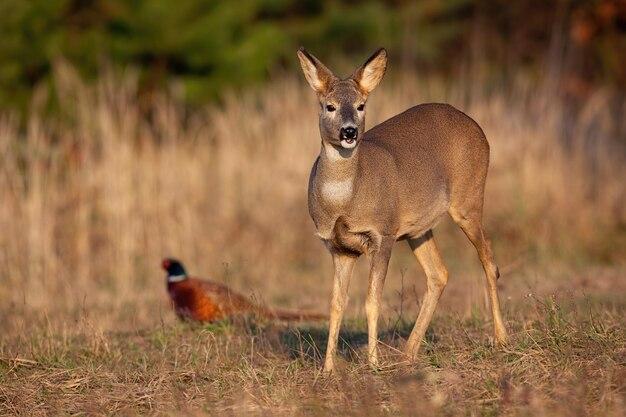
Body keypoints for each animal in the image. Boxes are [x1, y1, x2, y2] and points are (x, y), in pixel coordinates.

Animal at [294, 47, 504, 372]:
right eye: (329, 106)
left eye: (361, 105)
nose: (349, 132)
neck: (344, 202)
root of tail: (476, 125)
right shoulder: (338, 247)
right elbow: (336, 304)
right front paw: (328, 369)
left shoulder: (383, 232)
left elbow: (372, 301)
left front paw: (373, 363)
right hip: (419, 228)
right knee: (439, 273)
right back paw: (408, 354)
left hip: (468, 199)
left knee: (489, 261)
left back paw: (501, 339)